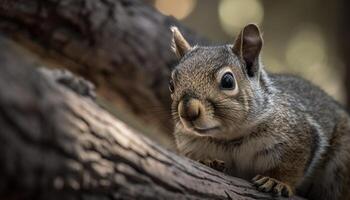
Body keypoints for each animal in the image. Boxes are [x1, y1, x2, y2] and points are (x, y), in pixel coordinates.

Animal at [169, 23, 350, 198]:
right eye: (171, 84)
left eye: (228, 81)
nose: (187, 111)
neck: (229, 138)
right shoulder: (189, 144)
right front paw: (207, 160)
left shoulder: (299, 136)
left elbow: (290, 167)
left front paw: (276, 181)